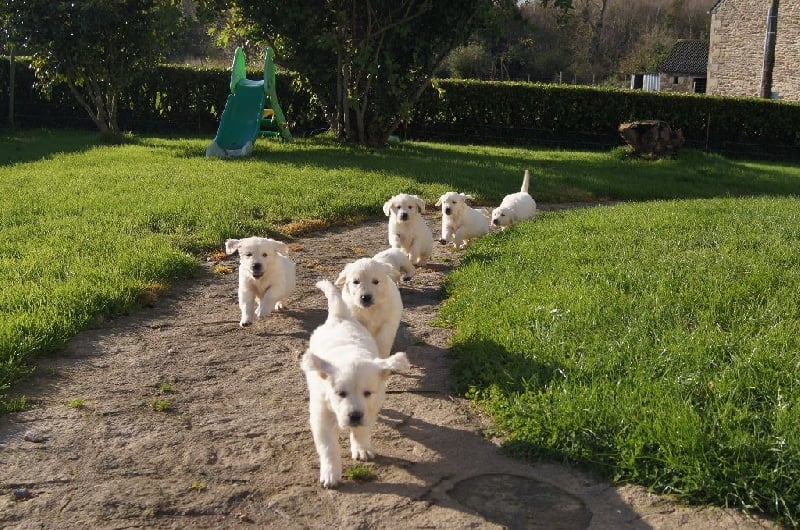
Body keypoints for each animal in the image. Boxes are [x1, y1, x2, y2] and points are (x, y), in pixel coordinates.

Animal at [302, 280, 410, 486]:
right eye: (340, 394)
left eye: (367, 393)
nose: (354, 416)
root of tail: (339, 316)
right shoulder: (321, 412)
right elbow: (328, 446)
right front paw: (330, 473)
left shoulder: (371, 406)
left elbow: (363, 429)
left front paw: (361, 448)